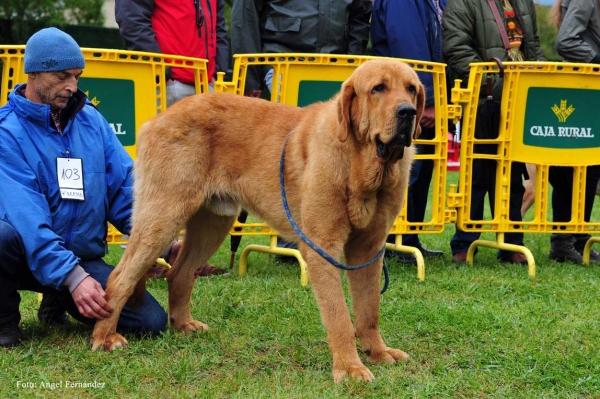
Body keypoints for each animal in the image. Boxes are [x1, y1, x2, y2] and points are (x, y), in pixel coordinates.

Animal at [91, 59, 424, 384]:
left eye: (411, 89)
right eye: (378, 88)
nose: (407, 112)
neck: (362, 165)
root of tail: (157, 119)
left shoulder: (369, 248)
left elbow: (369, 309)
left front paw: (377, 352)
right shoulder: (322, 247)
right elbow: (339, 314)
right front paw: (349, 368)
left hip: (211, 224)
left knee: (180, 274)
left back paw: (183, 325)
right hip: (162, 216)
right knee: (120, 277)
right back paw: (106, 337)